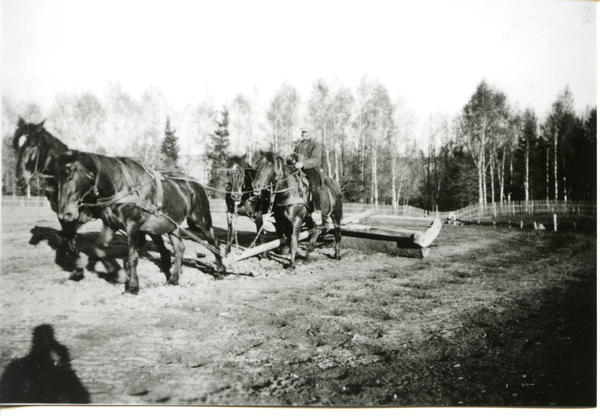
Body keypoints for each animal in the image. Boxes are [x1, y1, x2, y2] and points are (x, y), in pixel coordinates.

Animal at [56, 149, 226, 292]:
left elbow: (133, 256)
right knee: (179, 249)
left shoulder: (132, 226)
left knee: (214, 242)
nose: (65, 214)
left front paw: (132, 286)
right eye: (57, 177)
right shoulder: (110, 224)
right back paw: (174, 279)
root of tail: (196, 183)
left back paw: (221, 271)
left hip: (201, 220)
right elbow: (99, 249)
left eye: (71, 176)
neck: (120, 187)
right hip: (172, 225)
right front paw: (119, 274)